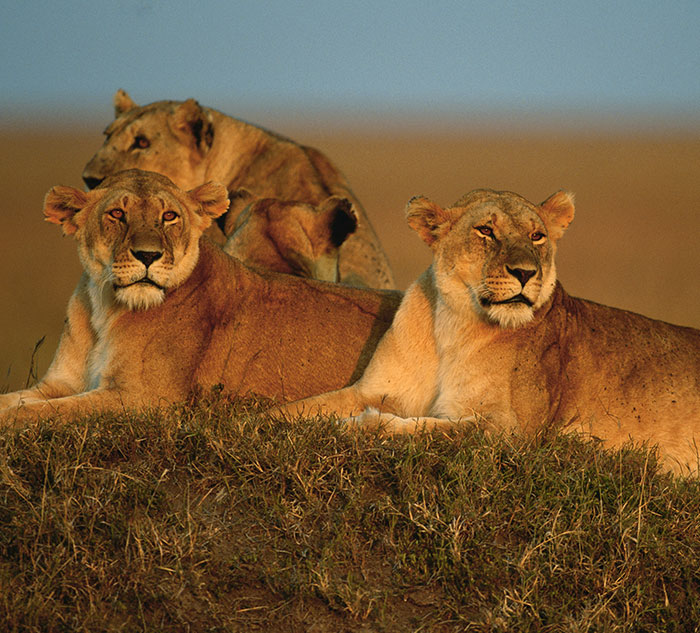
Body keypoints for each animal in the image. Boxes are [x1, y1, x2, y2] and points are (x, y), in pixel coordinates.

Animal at [278, 189, 700, 474]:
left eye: (537, 236)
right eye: (485, 231)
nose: (526, 273)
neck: (453, 324)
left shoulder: (509, 432)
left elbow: (432, 432)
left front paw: (364, 426)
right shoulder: (372, 390)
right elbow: (303, 407)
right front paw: (266, 422)